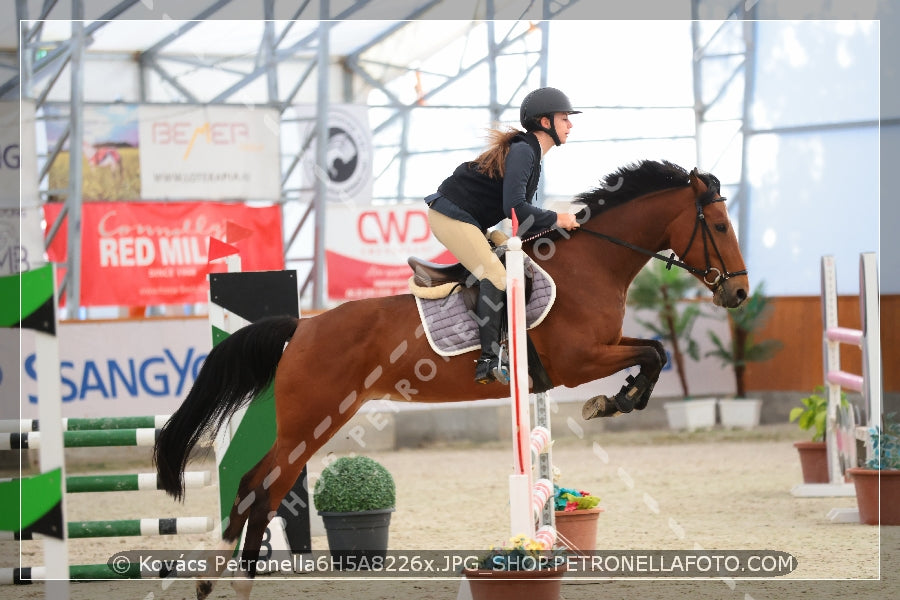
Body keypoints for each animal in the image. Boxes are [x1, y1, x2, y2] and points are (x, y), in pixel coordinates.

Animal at [155, 158, 752, 596]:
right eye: (721, 226)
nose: (739, 292)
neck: (592, 265)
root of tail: (303, 326)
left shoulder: (595, 353)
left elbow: (654, 353)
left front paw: (618, 400)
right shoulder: (579, 360)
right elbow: (653, 354)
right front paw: (612, 402)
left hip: (319, 421)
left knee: (259, 486)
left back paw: (226, 582)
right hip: (312, 420)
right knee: (259, 487)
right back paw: (228, 581)